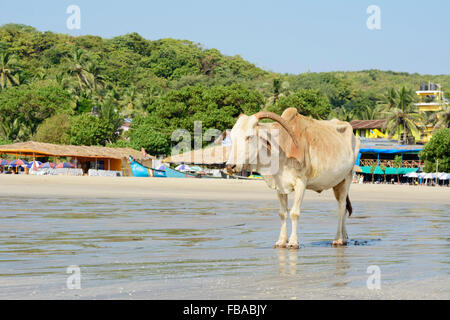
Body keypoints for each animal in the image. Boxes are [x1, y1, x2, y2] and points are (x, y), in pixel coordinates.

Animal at [227, 107, 360, 248]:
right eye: (232, 136)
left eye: (249, 136)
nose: (230, 166)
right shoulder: (279, 186)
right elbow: (282, 213)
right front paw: (281, 241)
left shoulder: (301, 183)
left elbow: (294, 213)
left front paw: (293, 241)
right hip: (337, 182)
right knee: (344, 208)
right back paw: (344, 238)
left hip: (347, 177)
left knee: (341, 207)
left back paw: (338, 239)